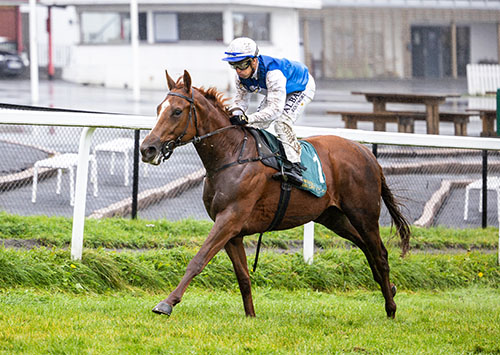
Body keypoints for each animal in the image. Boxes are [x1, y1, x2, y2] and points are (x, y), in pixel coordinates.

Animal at [140, 70, 410, 320]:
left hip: (364, 214)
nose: (147, 148)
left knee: (380, 254)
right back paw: (391, 288)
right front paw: (250, 316)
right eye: (158, 108)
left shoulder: (229, 220)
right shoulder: (232, 232)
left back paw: (391, 308)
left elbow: (198, 260)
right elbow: (243, 276)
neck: (231, 155)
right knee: (367, 248)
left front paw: (166, 303)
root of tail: (368, 155)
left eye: (177, 111)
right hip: (334, 217)